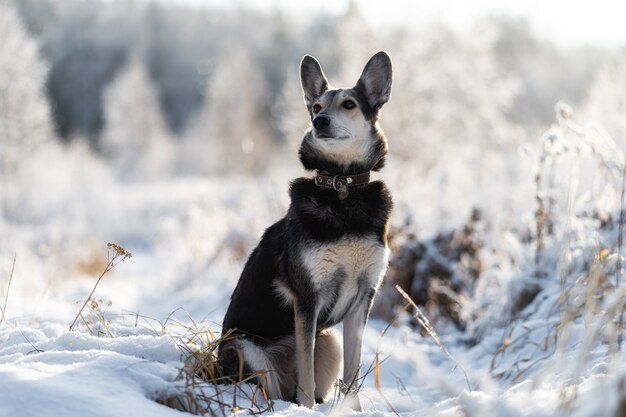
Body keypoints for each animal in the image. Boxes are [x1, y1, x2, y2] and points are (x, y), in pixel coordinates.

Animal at [217, 51, 392, 406]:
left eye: (349, 104)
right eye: (317, 107)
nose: (319, 122)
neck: (342, 187)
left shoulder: (362, 299)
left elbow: (352, 373)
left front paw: (351, 409)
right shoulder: (307, 298)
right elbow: (307, 374)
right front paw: (307, 409)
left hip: (329, 340)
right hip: (245, 348)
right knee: (270, 385)